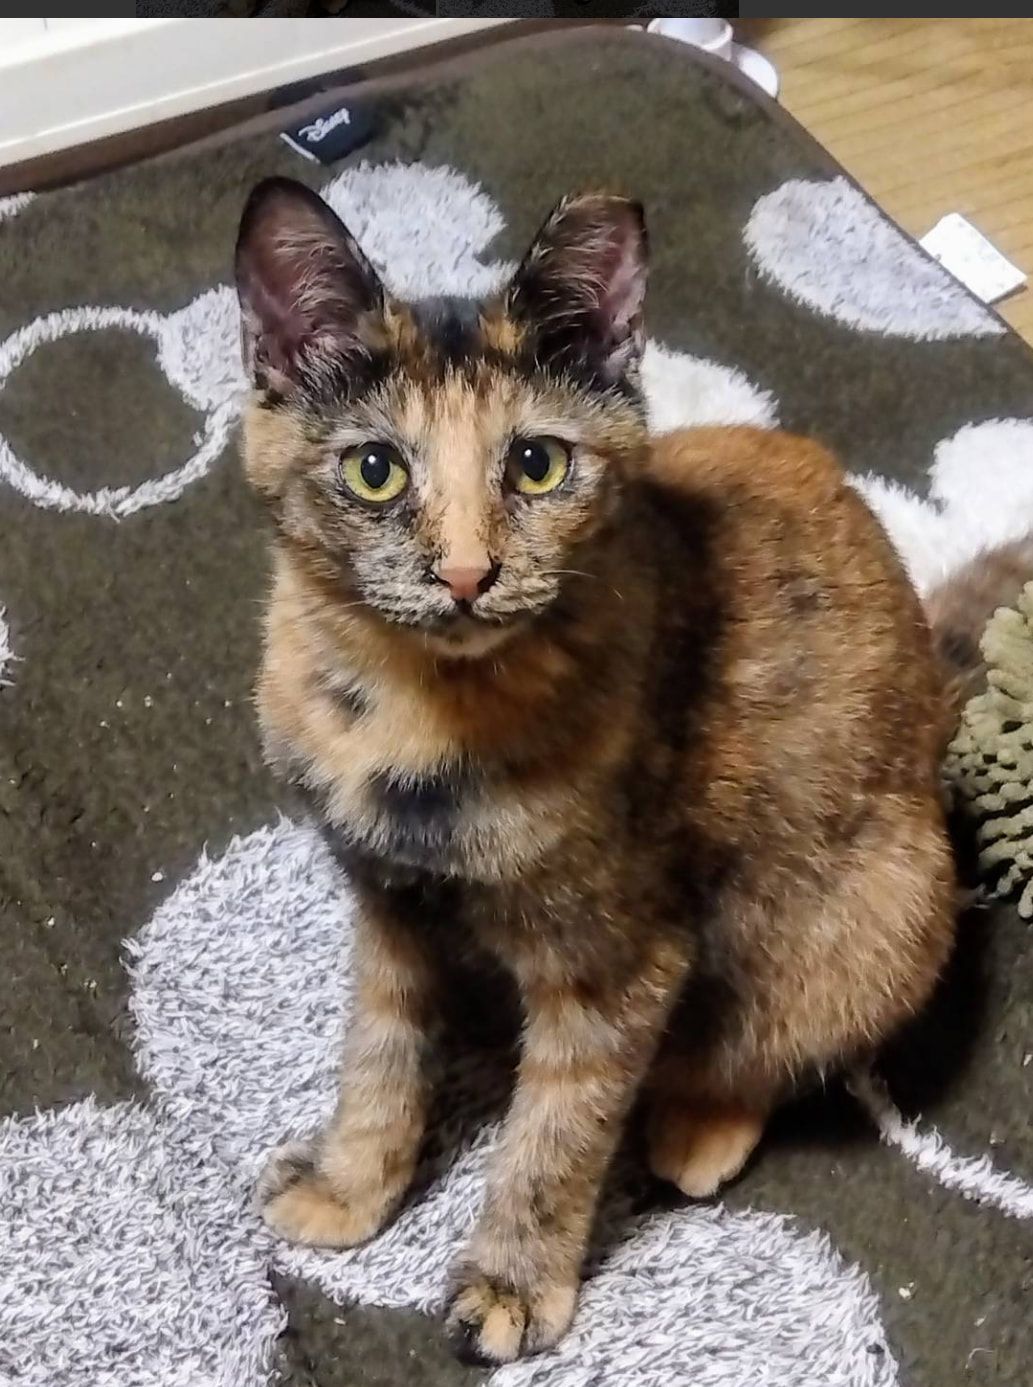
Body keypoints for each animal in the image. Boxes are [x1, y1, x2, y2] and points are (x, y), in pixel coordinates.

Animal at [234, 181, 959, 1364]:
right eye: (374, 470)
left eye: (537, 463)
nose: (467, 573)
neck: (413, 718)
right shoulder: (385, 907)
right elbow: (378, 1056)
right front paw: (352, 1185)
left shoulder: (618, 963)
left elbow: (555, 1133)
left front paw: (510, 1286)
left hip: (873, 915)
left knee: (764, 1045)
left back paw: (694, 1127)